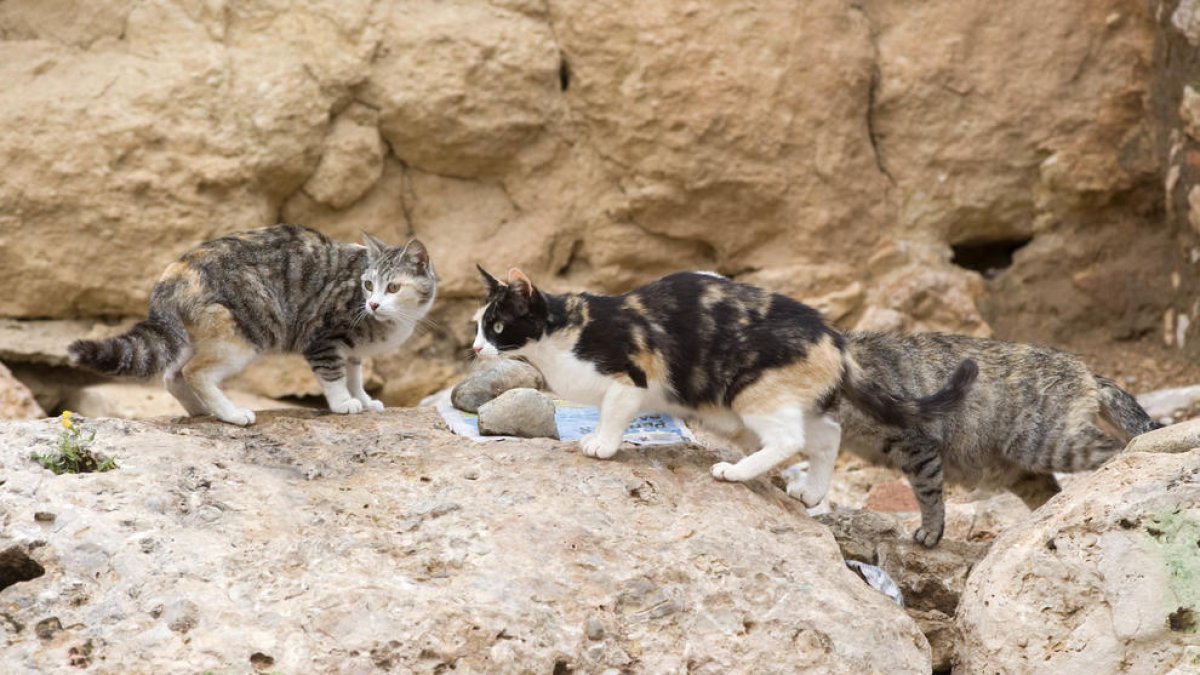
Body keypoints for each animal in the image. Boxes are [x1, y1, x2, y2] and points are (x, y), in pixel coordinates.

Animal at [70, 225, 436, 425]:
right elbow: (333, 376)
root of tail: (173, 274)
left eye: (392, 288)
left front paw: (363, 398)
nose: (373, 304)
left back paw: (201, 411)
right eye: (368, 285)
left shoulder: (355, 351)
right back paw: (231, 414)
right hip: (243, 336)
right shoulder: (323, 338)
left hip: (191, 336)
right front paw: (344, 403)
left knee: (171, 374)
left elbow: (355, 375)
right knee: (195, 373)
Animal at [468, 265, 974, 506]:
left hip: (753, 393)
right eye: (477, 325)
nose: (473, 348)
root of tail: (835, 337)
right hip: (792, 401)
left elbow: (613, 413)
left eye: (496, 326)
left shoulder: (631, 380)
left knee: (790, 440)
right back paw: (812, 493)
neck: (562, 334)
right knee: (827, 435)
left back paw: (736, 472)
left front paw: (602, 444)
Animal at [806, 329, 1161, 542]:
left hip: (1045, 443)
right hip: (1021, 468)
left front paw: (931, 531)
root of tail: (1085, 370)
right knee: (1048, 491)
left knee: (1115, 448)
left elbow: (928, 492)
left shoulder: (914, 441)